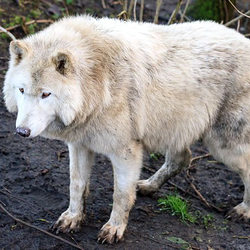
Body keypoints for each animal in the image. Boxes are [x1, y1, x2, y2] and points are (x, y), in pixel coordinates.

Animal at [3, 15, 250, 242]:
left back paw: (244, 210)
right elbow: (76, 185)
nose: (22, 132)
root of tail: (244, 39)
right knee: (183, 159)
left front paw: (114, 229)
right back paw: (149, 186)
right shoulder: (79, 144)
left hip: (223, 146)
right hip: (175, 131)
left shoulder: (126, 152)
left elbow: (120, 195)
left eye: (46, 94)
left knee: (243, 168)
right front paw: (72, 218)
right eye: (22, 90)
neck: (98, 84)